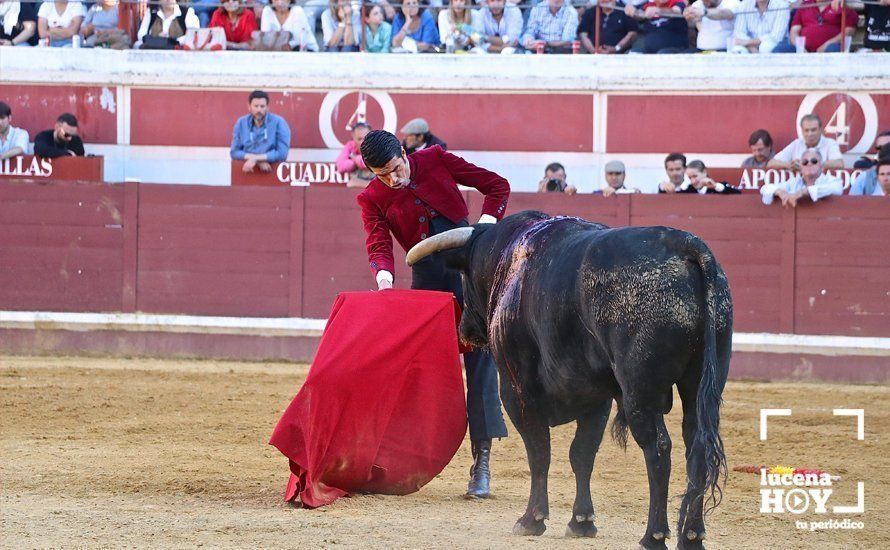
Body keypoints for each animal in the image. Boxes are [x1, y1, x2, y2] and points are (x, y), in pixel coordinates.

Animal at [406, 212, 732, 550]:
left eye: (465, 275)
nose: (466, 331)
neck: (508, 260)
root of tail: (685, 245)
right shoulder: (598, 397)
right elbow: (582, 454)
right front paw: (581, 521)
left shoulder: (517, 389)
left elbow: (539, 452)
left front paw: (531, 520)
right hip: (700, 382)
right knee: (696, 447)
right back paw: (692, 535)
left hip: (640, 392)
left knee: (658, 448)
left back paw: (653, 535)